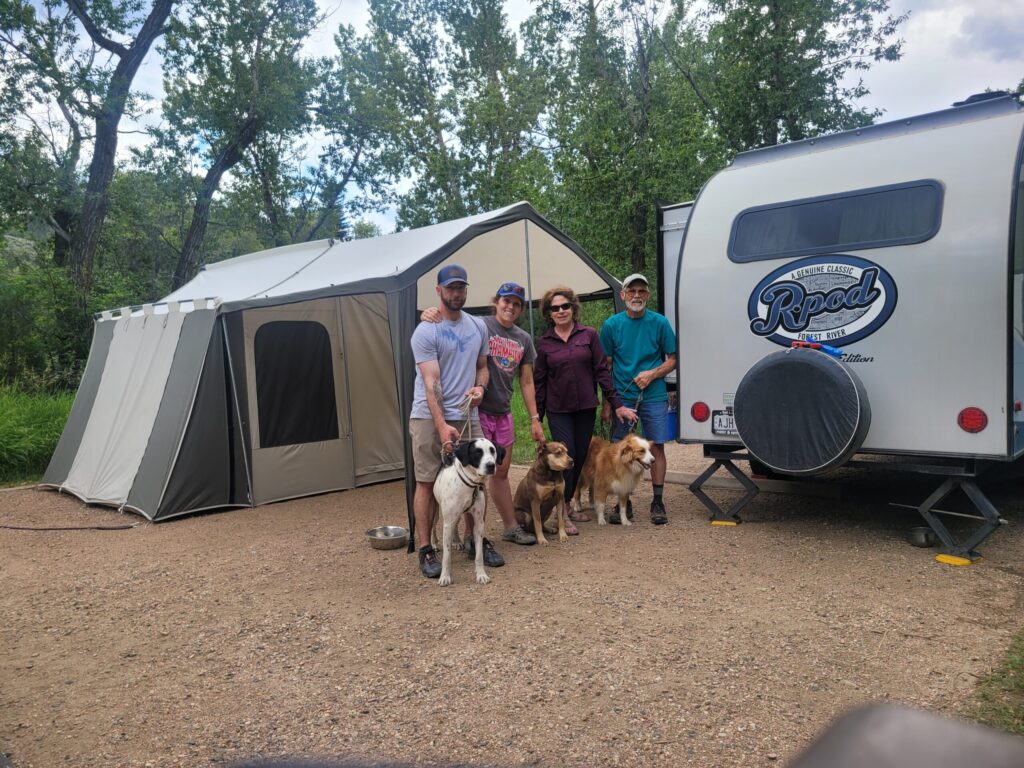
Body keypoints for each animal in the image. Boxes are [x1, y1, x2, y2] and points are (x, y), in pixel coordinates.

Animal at [433, 438, 504, 586]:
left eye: (492, 451)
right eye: (477, 453)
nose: (491, 465)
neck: (470, 484)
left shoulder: (479, 523)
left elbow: (479, 555)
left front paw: (481, 575)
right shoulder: (447, 523)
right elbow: (446, 557)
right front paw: (445, 577)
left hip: (458, 515)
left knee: (455, 526)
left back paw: (457, 542)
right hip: (437, 511)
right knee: (432, 528)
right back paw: (434, 544)